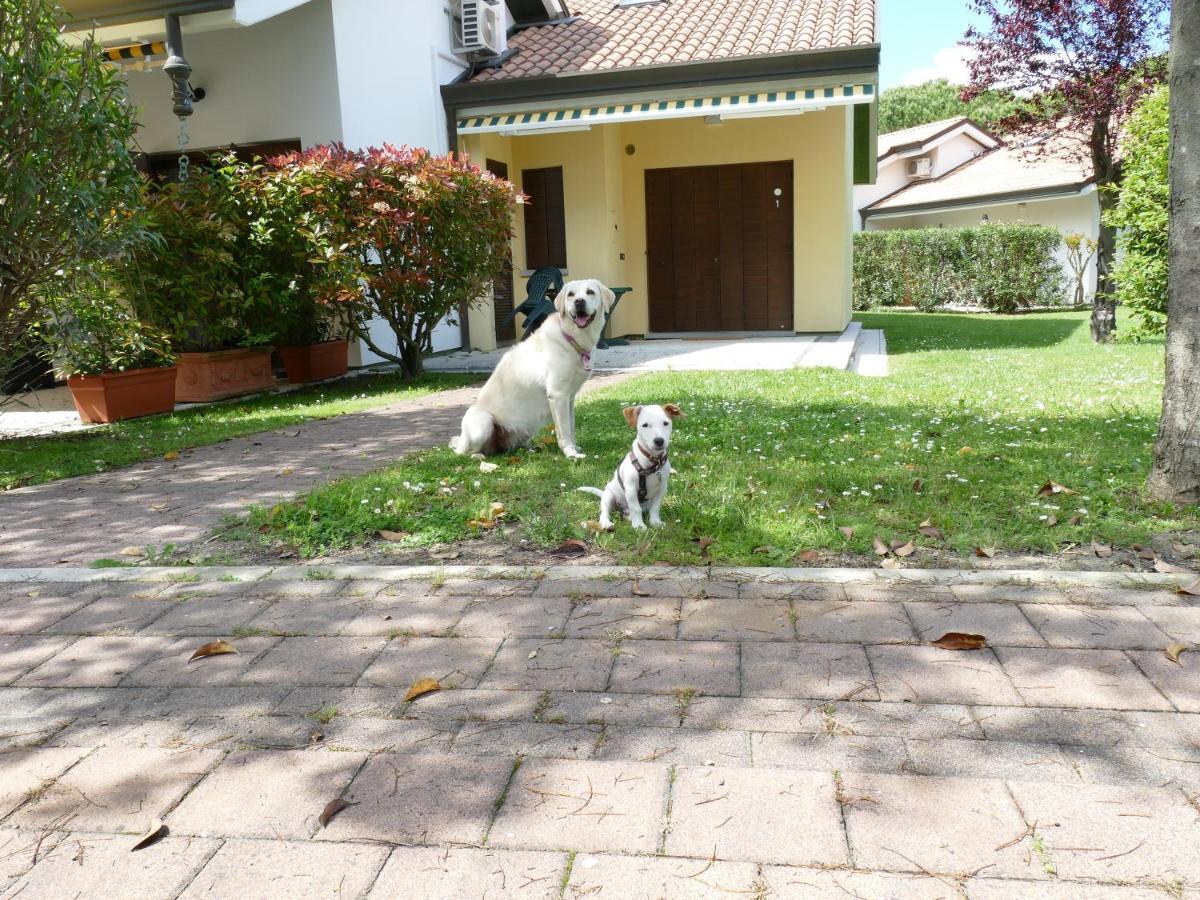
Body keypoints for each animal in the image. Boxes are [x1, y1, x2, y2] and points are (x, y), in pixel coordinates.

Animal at [451, 278, 614, 460]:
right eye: (571, 295)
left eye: (590, 292)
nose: (579, 302)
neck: (571, 338)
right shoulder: (558, 395)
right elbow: (564, 430)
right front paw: (570, 453)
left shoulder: (569, 397)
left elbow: (571, 426)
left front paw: (575, 448)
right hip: (482, 423)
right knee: (464, 452)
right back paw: (478, 456)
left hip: (526, 429)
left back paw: (529, 449)